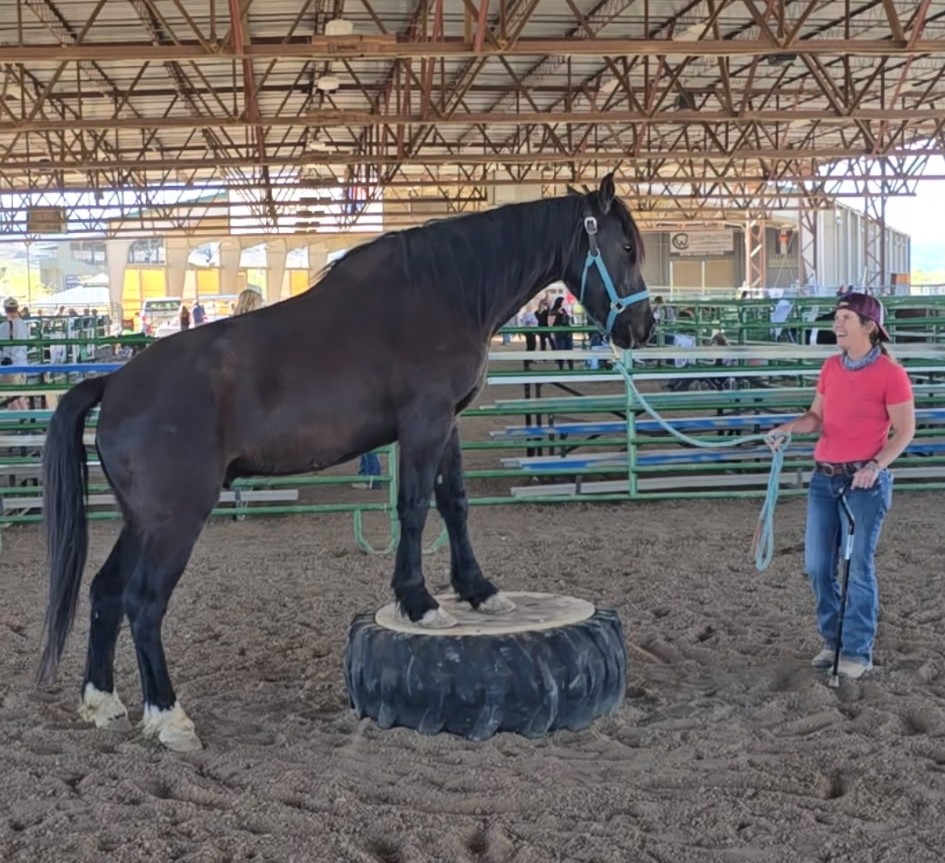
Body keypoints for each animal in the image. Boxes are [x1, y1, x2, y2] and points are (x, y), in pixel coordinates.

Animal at [37, 173, 653, 752]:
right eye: (625, 246)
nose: (642, 328)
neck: (443, 291)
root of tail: (114, 383)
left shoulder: (448, 423)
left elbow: (454, 503)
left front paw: (479, 591)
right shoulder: (424, 421)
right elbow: (414, 507)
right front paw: (419, 602)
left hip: (141, 521)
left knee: (105, 593)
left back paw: (102, 703)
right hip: (175, 519)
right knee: (143, 603)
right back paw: (169, 718)